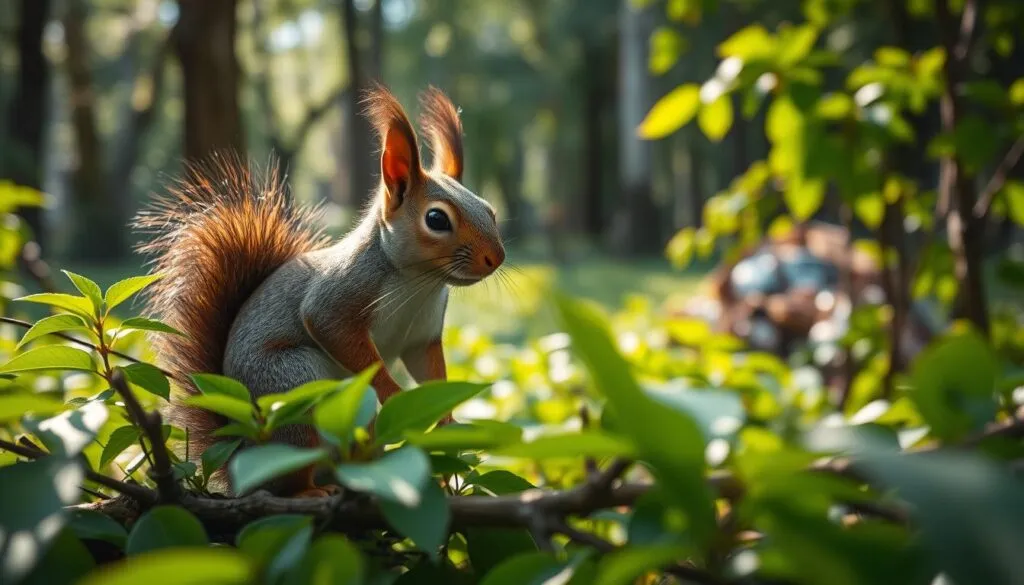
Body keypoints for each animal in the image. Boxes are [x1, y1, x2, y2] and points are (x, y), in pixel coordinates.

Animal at [132, 85, 505, 498]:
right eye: (436, 219)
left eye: (489, 210)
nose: (496, 257)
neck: (420, 283)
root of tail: (240, 462)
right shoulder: (339, 294)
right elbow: (337, 333)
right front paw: (395, 394)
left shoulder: (421, 335)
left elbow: (429, 370)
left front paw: (446, 420)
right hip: (295, 388)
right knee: (291, 472)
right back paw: (309, 490)